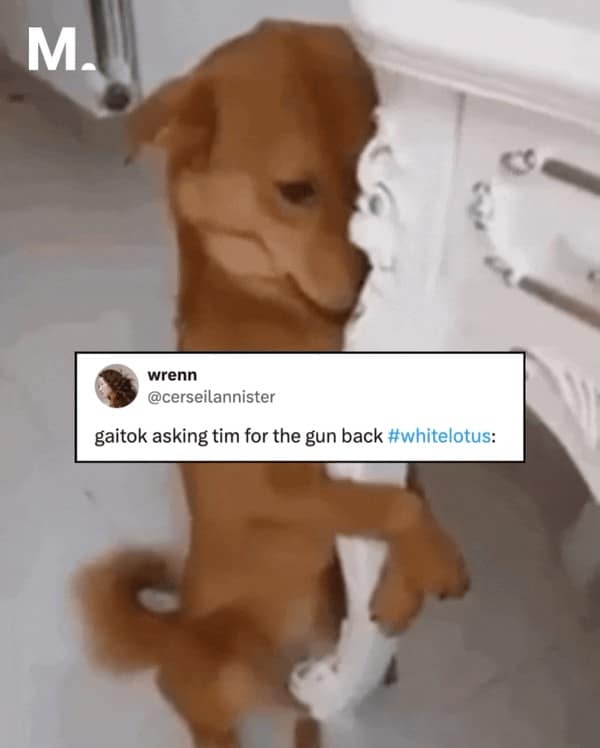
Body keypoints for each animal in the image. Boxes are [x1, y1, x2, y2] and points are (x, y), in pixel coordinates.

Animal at [75, 21, 469, 748]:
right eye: (295, 190)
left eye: (372, 171)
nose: (375, 278)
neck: (283, 319)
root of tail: (175, 629)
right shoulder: (279, 486)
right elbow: (390, 503)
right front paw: (435, 563)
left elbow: (409, 489)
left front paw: (402, 587)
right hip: (216, 669)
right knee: (191, 704)